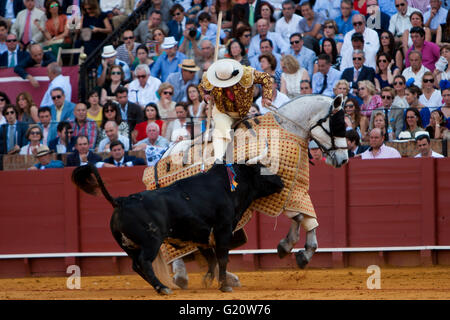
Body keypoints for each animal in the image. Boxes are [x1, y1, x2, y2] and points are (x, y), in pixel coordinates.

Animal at [71, 164, 284, 294]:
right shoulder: (223, 230)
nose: (281, 181)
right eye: (263, 168)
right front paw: (224, 286)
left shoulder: (202, 236)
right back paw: (162, 288)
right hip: (151, 242)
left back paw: (162, 286)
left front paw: (208, 280)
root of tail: (121, 201)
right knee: (144, 262)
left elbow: (211, 259)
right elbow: (222, 258)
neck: (229, 185)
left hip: (129, 247)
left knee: (136, 265)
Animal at [161, 94, 348, 288]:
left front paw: (303, 253)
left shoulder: (294, 189)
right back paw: (182, 276)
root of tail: (167, 151)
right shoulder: (279, 192)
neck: (286, 130)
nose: (344, 160)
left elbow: (307, 217)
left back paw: (222, 277)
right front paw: (287, 246)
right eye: (338, 125)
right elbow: (299, 216)